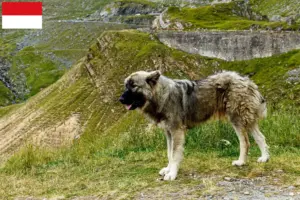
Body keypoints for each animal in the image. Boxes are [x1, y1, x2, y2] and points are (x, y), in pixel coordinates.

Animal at [119, 70, 270, 181]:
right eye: (126, 86)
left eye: (134, 86)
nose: (120, 99)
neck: (162, 95)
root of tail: (247, 80)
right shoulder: (168, 133)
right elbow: (169, 154)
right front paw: (168, 169)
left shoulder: (176, 131)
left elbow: (175, 154)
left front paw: (172, 173)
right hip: (246, 120)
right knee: (260, 137)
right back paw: (264, 158)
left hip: (237, 118)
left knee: (245, 142)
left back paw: (241, 162)